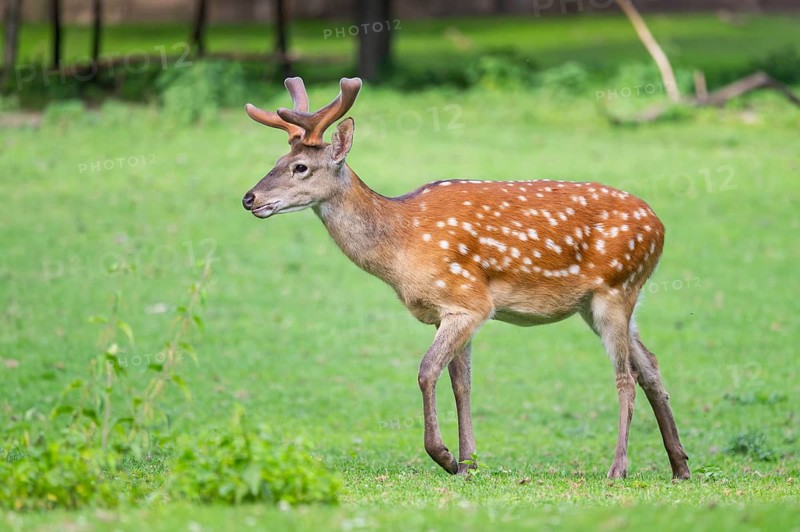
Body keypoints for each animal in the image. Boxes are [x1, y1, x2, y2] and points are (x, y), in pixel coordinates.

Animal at [241, 77, 691, 480]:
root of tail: (661, 226)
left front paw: (443, 456)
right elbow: (462, 385)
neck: (401, 246)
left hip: (616, 288)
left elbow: (426, 371)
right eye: (275, 162)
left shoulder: (468, 302)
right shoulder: (451, 311)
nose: (249, 198)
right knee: (650, 365)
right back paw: (680, 466)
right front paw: (468, 463)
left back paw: (618, 468)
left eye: (300, 167)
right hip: (601, 302)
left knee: (626, 376)